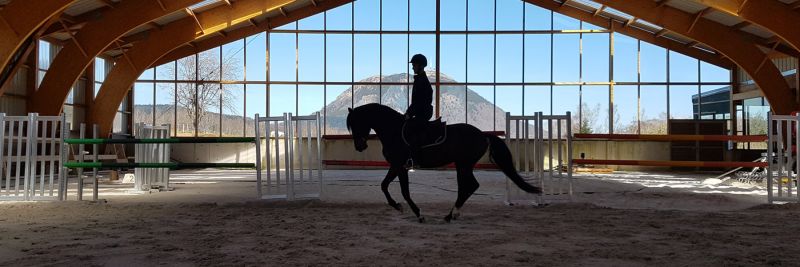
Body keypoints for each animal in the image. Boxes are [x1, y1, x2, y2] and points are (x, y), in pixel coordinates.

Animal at [346, 103, 540, 223]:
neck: (393, 131)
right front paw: (398, 207)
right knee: (468, 187)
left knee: (470, 186)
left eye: (356, 123)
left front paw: (419, 214)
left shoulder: (400, 166)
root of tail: (483, 135)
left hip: (464, 164)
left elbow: (404, 191)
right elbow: (384, 185)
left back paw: (451, 214)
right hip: (463, 165)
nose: (359, 146)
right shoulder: (396, 166)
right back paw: (452, 214)